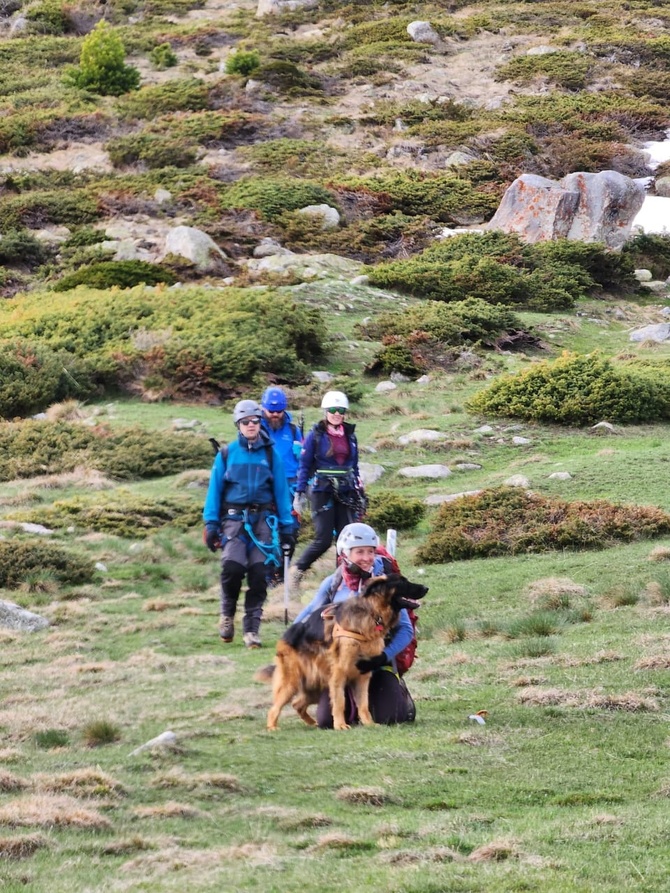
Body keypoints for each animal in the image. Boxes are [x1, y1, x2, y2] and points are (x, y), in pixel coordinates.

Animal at [258, 576, 430, 728]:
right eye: (402, 581)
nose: (426, 588)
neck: (372, 612)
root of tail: (286, 636)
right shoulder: (339, 674)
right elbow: (340, 702)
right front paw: (340, 725)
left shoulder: (362, 675)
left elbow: (363, 704)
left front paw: (369, 723)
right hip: (292, 683)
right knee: (274, 708)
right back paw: (272, 727)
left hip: (315, 685)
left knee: (297, 704)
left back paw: (313, 723)